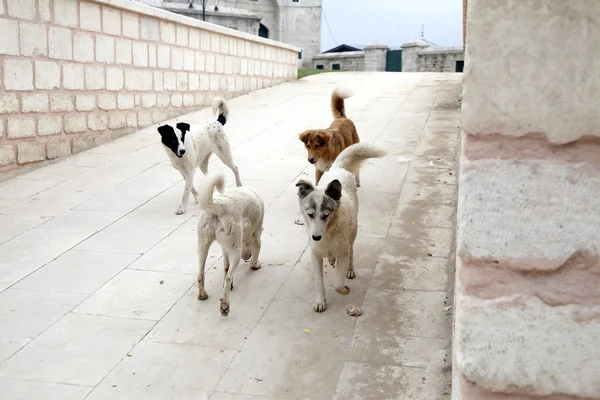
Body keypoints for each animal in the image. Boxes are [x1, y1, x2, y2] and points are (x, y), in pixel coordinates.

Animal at [196, 173, 264, 318]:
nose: (246, 257)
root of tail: (218, 206)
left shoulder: (225, 247)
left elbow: (226, 267)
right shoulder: (256, 234)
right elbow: (256, 252)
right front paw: (255, 265)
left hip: (202, 246)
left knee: (200, 274)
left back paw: (202, 295)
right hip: (235, 251)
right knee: (227, 278)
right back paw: (225, 306)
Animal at [294, 143, 384, 312]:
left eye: (326, 215)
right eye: (310, 214)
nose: (316, 237)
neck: (328, 232)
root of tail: (338, 168)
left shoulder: (342, 252)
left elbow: (337, 284)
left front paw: (344, 289)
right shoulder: (315, 255)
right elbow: (319, 283)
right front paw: (320, 301)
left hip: (353, 233)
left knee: (351, 252)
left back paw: (350, 270)